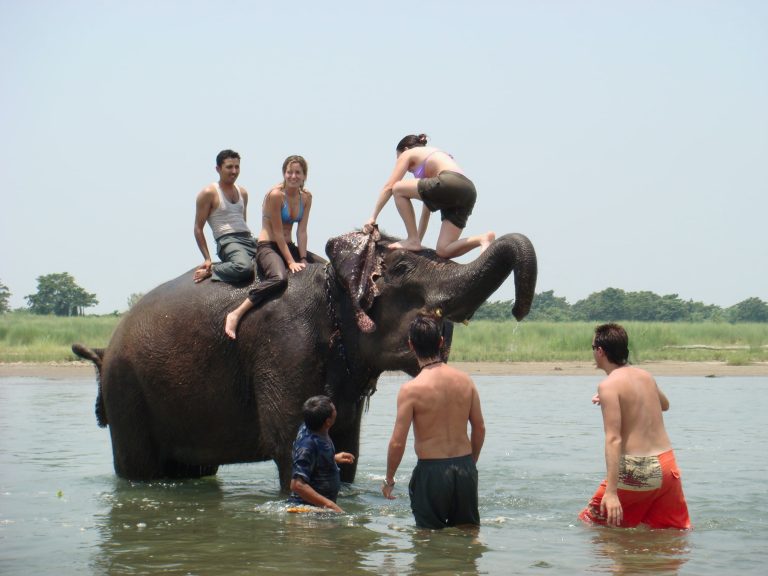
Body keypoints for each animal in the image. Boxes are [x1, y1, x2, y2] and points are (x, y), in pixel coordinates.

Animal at [72, 230, 537, 490]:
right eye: (403, 267)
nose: (519, 311)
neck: (331, 279)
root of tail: (105, 349)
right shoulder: (284, 345)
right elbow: (289, 442)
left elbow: (346, 444)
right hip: (126, 390)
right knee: (139, 468)